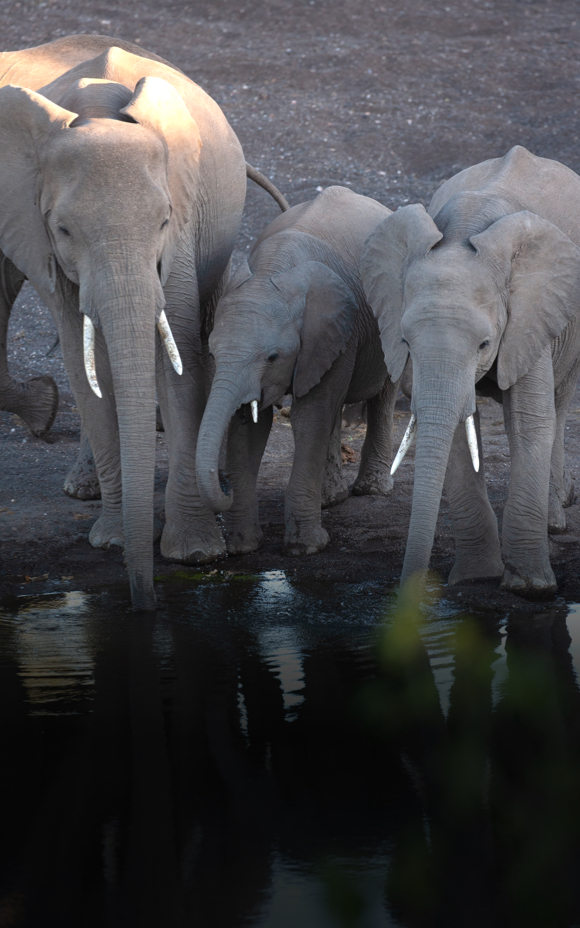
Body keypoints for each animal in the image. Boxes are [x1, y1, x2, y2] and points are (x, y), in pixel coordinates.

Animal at [0, 35, 286, 609]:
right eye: (63, 230)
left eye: (163, 221)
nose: (144, 605)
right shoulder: (38, 239)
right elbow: (82, 359)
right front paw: (113, 540)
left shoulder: (180, 232)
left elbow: (179, 354)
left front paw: (195, 554)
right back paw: (84, 489)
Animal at [195, 185, 398, 557]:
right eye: (214, 352)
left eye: (273, 357)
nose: (223, 483)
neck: (272, 273)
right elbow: (255, 427)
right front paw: (242, 546)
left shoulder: (336, 331)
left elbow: (309, 417)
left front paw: (306, 547)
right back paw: (331, 498)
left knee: (383, 394)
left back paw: (371, 490)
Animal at [361, 145, 580, 596]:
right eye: (404, 342)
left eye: (484, 344)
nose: (408, 591)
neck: (464, 230)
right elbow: (456, 433)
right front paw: (477, 577)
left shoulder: (527, 314)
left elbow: (530, 420)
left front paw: (529, 588)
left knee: (559, 404)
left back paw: (554, 523)